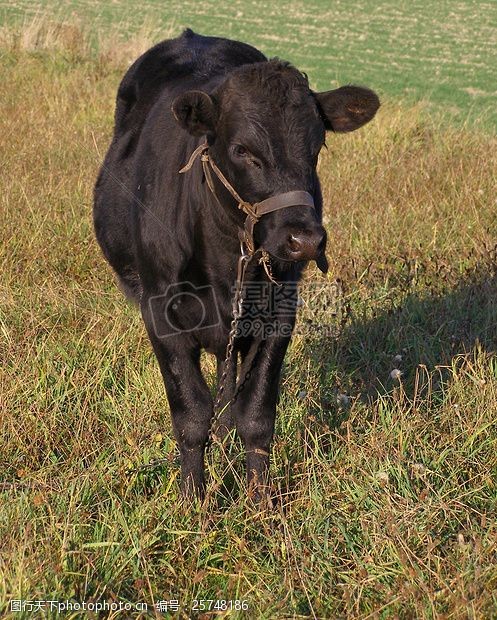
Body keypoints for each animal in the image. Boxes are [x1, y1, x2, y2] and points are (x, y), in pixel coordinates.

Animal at [93, 29, 376, 498]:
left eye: (316, 147)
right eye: (243, 150)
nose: (304, 240)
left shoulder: (280, 313)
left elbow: (256, 415)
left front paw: (259, 501)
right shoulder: (160, 313)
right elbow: (191, 414)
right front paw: (193, 501)